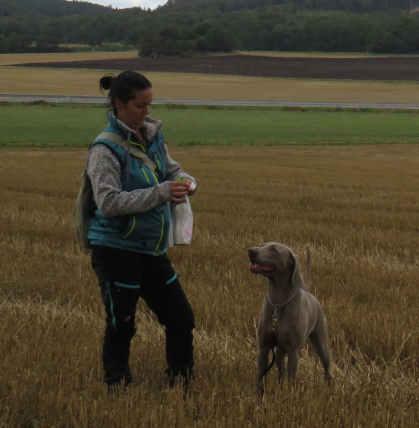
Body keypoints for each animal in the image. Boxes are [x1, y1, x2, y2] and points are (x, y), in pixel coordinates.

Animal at [248, 242, 334, 396]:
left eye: (274, 249)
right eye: (263, 245)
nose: (251, 251)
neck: (278, 302)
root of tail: (310, 293)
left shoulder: (293, 351)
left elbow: (291, 378)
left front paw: (289, 396)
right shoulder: (264, 347)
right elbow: (260, 375)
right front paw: (258, 395)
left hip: (321, 342)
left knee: (327, 368)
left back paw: (329, 389)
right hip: (280, 351)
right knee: (280, 369)